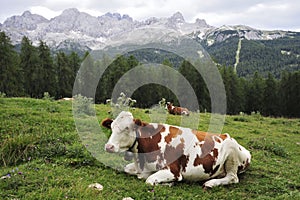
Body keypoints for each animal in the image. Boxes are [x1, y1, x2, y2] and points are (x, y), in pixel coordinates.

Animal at [102, 111, 252, 188]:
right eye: (112, 127)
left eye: (127, 128)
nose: (108, 147)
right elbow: (128, 169)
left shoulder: (172, 171)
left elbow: (149, 180)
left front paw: (168, 184)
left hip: (231, 153)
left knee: (233, 177)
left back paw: (211, 183)